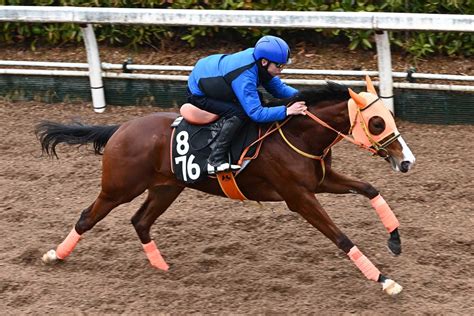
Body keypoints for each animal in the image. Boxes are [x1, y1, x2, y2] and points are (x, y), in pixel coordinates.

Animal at [36, 76, 414, 296]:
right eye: (377, 123)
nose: (406, 161)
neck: (296, 135)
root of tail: (120, 129)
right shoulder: (298, 196)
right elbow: (341, 237)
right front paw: (384, 280)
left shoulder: (321, 181)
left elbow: (370, 189)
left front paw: (395, 241)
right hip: (119, 188)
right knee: (87, 217)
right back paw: (55, 255)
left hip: (166, 187)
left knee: (140, 221)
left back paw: (162, 267)